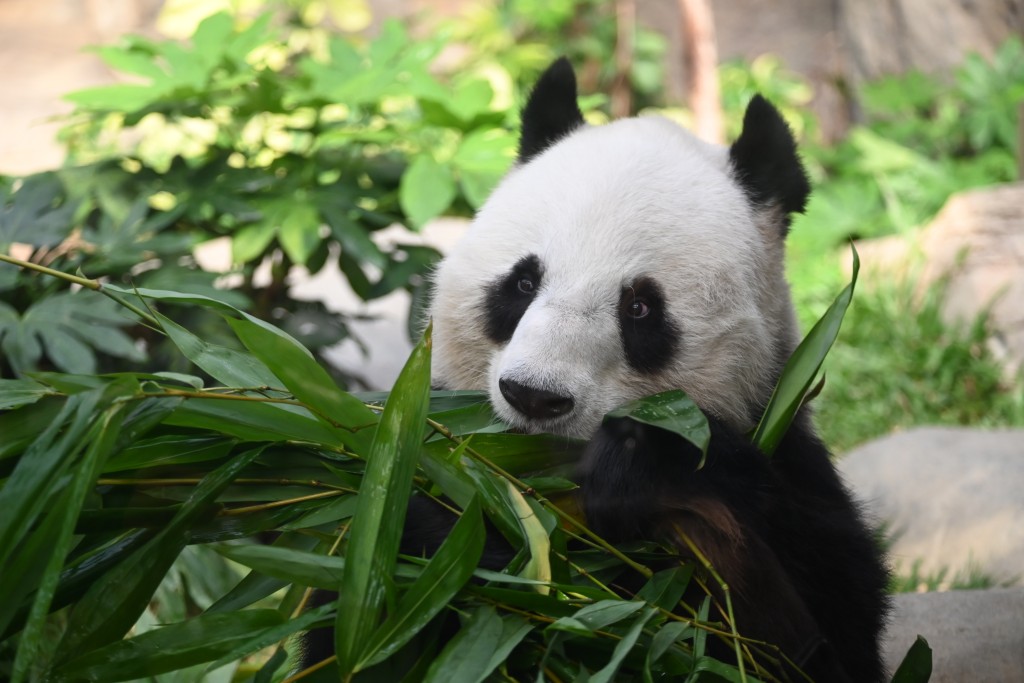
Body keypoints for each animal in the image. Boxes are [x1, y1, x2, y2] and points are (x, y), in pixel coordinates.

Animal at [423, 60, 888, 683]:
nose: (535, 397)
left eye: (640, 308)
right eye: (521, 283)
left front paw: (638, 464)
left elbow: (825, 620)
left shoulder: (783, 443)